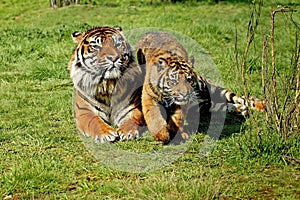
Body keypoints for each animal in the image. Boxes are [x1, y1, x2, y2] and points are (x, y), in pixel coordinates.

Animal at [136, 31, 264, 144]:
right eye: (174, 81)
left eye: (188, 80)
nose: (185, 94)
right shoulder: (149, 97)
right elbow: (154, 117)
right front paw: (162, 135)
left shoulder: (183, 104)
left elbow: (178, 118)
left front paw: (177, 132)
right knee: (220, 105)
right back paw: (241, 109)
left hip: (209, 88)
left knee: (236, 97)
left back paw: (261, 105)